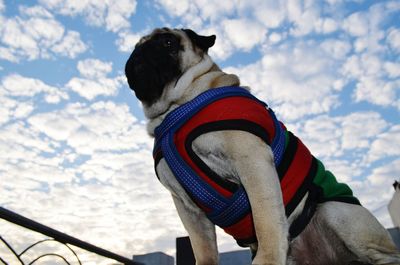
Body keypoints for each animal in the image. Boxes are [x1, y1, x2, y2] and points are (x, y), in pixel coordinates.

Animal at [125, 27, 400, 264]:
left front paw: (267, 259)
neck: (176, 108)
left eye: (167, 42)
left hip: (336, 211)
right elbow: (203, 247)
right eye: (136, 47)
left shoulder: (252, 162)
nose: (138, 54)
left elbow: (265, 220)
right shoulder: (186, 205)